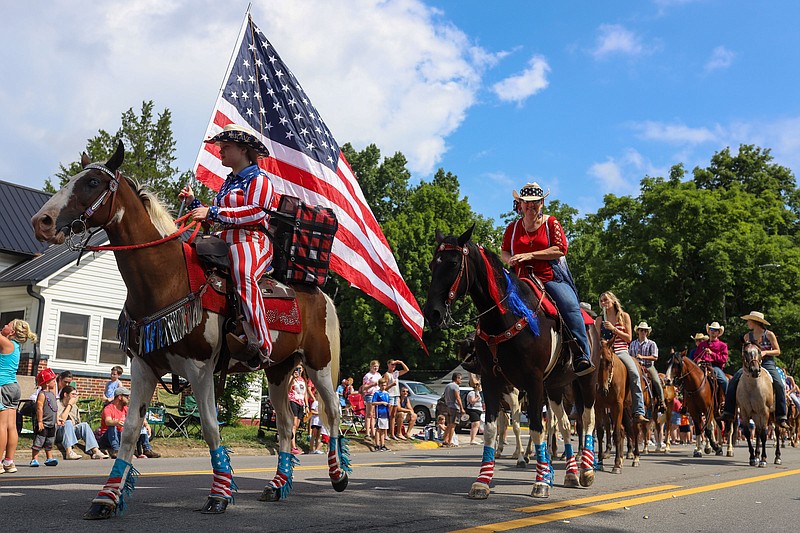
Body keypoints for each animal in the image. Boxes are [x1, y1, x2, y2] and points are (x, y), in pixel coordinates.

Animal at [31, 143, 350, 516]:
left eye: (93, 182)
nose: (42, 222)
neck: (167, 279)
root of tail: (318, 293)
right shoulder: (144, 368)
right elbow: (130, 431)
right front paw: (107, 498)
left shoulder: (200, 370)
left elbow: (211, 428)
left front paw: (219, 495)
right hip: (279, 370)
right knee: (286, 426)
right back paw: (276, 486)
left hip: (319, 366)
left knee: (333, 413)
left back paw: (338, 474)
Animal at [422, 228, 596, 498]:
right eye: (433, 264)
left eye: (453, 263)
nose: (433, 312)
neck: (505, 316)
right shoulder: (491, 380)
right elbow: (492, 429)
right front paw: (482, 482)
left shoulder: (532, 383)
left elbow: (534, 428)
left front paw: (540, 482)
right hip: (555, 386)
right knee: (566, 425)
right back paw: (570, 474)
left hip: (586, 380)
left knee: (587, 421)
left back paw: (586, 471)